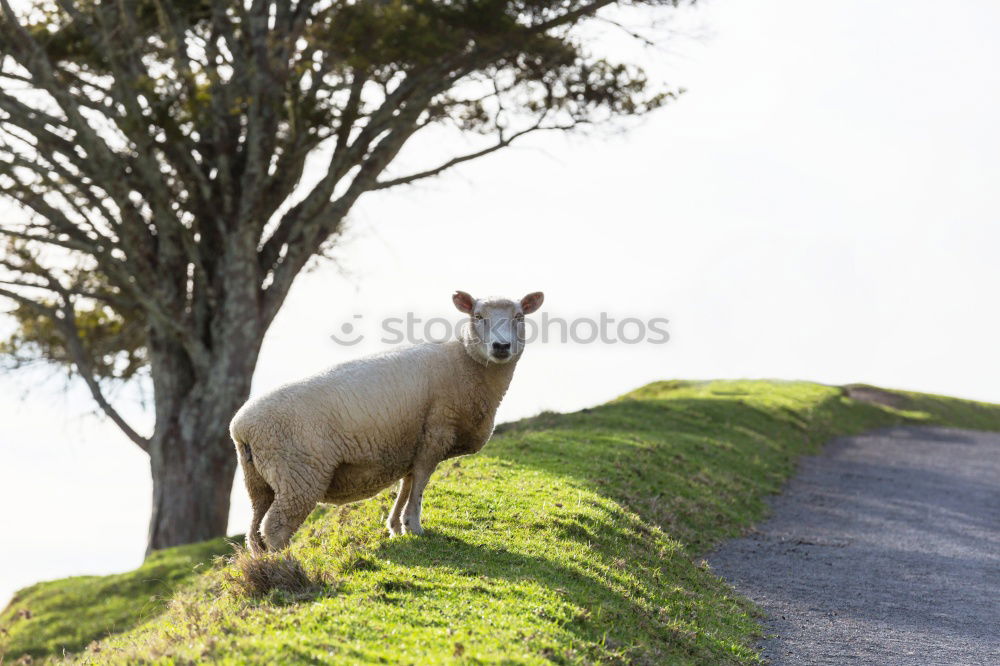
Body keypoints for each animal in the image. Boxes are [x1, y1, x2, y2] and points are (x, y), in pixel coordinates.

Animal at [229, 286, 544, 548]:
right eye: (477, 316)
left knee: (254, 532)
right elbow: (419, 484)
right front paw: (414, 526)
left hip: (258, 480)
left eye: (519, 316)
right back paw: (285, 564)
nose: (501, 347)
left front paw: (395, 526)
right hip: (299, 474)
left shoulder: (412, 441)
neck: (466, 363)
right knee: (275, 528)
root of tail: (242, 427)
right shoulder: (436, 433)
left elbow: (407, 483)